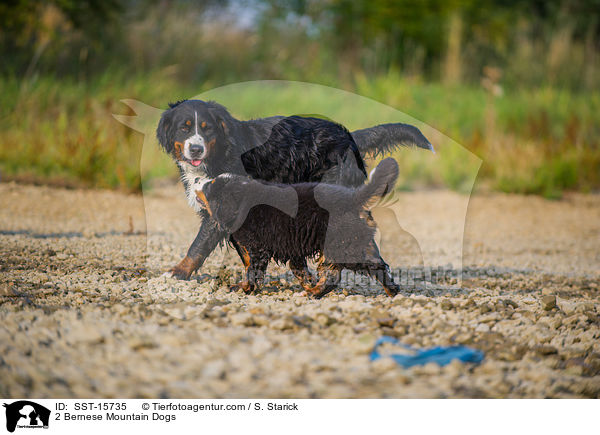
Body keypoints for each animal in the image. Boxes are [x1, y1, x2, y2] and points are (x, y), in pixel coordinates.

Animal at [157, 99, 434, 280]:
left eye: (207, 128)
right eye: (184, 127)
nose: (195, 149)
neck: (220, 153)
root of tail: (349, 137)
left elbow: (198, 245)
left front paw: (178, 272)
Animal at [197, 158, 400, 298]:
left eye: (210, 185)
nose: (198, 179)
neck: (243, 200)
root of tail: (354, 198)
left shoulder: (257, 248)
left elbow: (252, 271)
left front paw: (243, 288)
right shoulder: (292, 246)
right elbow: (299, 270)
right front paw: (308, 283)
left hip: (344, 246)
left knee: (344, 275)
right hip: (350, 244)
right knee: (370, 267)